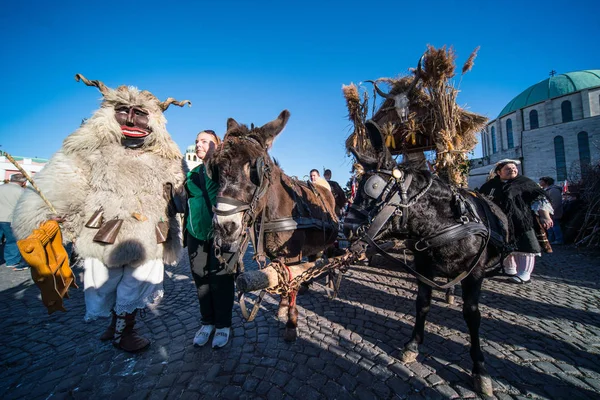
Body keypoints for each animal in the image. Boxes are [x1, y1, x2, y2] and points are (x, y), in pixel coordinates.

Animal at [344, 120, 508, 396]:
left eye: (374, 188)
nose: (344, 229)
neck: (445, 225)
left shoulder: (475, 274)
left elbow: (472, 314)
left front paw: (480, 369)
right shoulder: (423, 267)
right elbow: (422, 304)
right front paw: (412, 345)